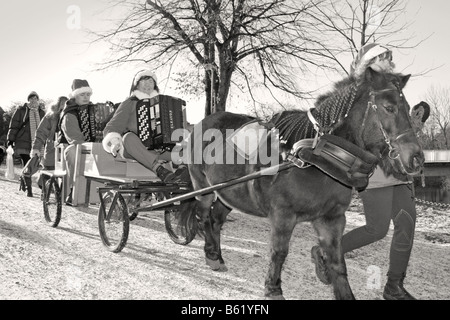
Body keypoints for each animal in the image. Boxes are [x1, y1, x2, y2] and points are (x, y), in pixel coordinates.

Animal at [178, 68, 422, 300]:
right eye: (389, 108)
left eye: (409, 108)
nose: (417, 158)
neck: (317, 157)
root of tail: (202, 123)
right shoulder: (283, 216)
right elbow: (279, 252)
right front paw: (273, 288)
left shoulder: (332, 219)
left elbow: (337, 261)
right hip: (203, 188)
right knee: (204, 218)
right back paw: (211, 255)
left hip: (227, 194)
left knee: (216, 221)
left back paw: (217, 255)